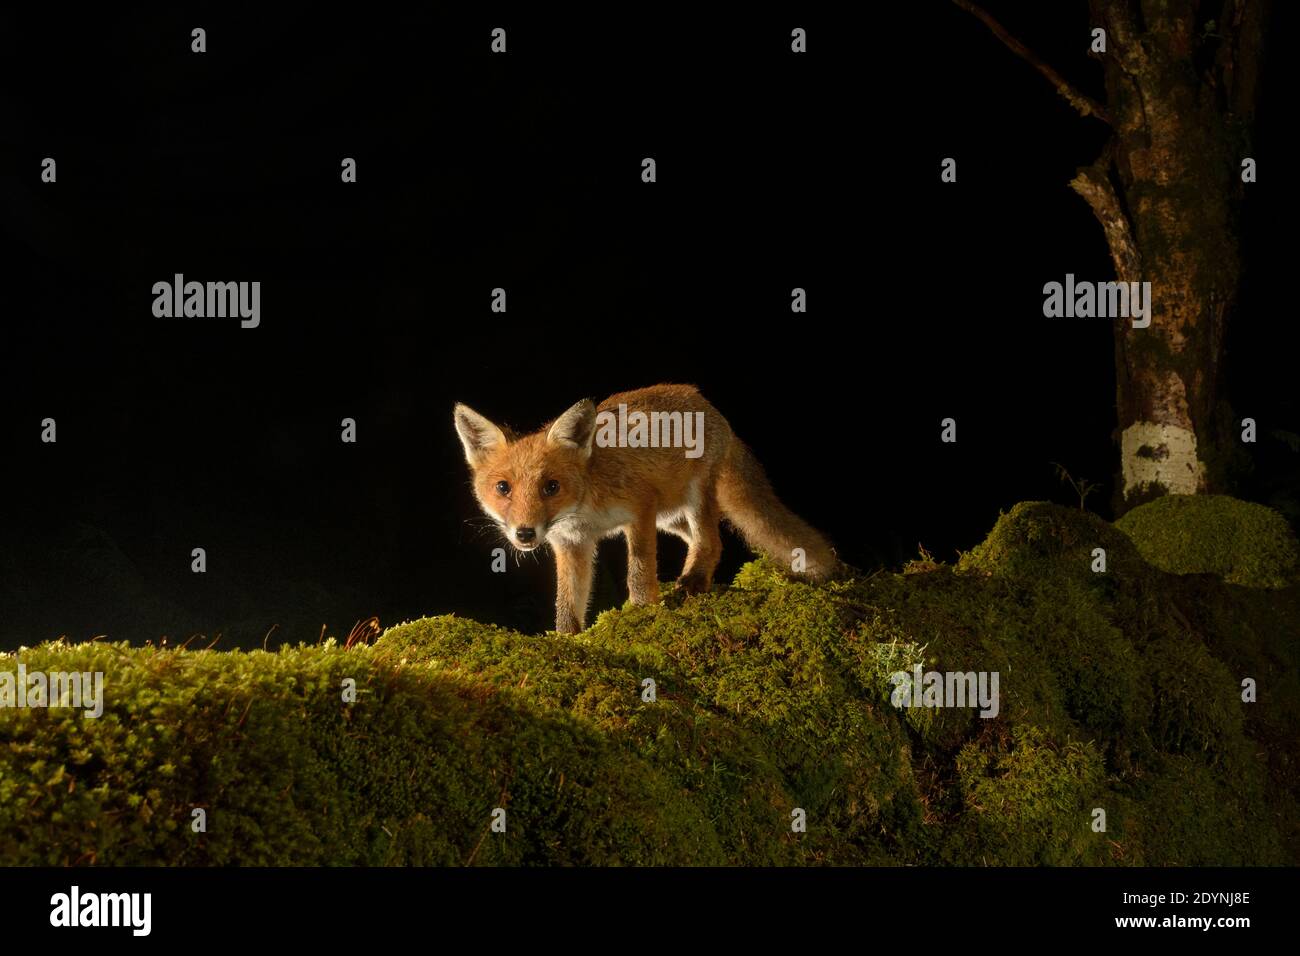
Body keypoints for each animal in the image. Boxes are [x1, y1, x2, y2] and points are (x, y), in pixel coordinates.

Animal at [453, 384, 838, 634]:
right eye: (503, 488)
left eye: (551, 487)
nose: (525, 533)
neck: (584, 506)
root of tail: (704, 401)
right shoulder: (572, 542)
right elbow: (568, 602)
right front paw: (568, 639)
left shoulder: (639, 508)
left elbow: (638, 571)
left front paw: (641, 612)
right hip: (670, 518)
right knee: (706, 539)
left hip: (693, 498)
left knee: (711, 540)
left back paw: (694, 581)